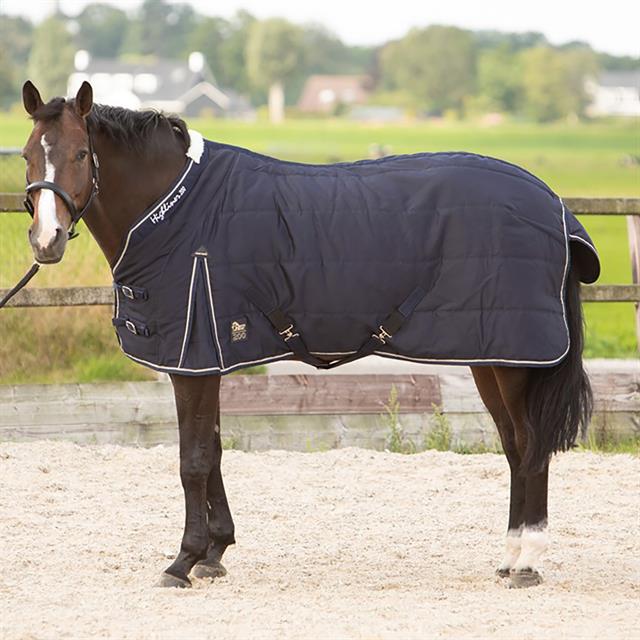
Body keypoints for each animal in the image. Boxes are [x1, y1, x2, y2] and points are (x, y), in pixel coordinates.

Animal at [16, 80, 599, 589]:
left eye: (81, 155)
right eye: (26, 156)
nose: (46, 241)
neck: (177, 211)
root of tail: (552, 204)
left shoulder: (193, 360)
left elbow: (193, 460)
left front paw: (183, 560)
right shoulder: (210, 359)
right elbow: (216, 450)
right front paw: (215, 552)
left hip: (514, 361)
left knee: (531, 447)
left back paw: (527, 562)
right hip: (490, 357)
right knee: (515, 447)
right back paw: (510, 557)